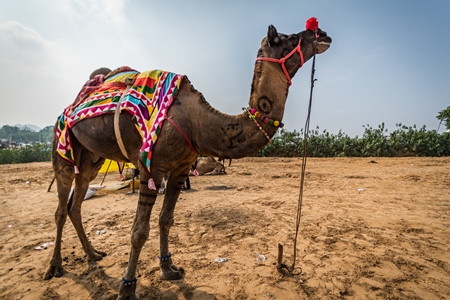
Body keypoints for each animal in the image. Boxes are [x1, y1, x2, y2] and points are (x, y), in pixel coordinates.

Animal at [44, 19, 330, 300]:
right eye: (287, 38)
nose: (322, 33)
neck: (198, 122)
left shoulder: (181, 168)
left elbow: (166, 219)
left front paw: (169, 269)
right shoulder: (151, 168)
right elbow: (139, 232)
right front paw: (127, 289)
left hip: (91, 158)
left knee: (76, 203)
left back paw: (93, 254)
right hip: (61, 145)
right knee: (61, 208)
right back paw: (54, 267)